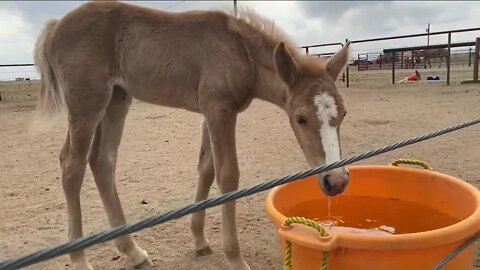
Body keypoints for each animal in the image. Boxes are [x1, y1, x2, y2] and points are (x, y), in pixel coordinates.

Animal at [32, 1, 348, 268]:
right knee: (72, 165)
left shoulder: (209, 113)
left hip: (116, 100)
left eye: (343, 113)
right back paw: (79, 259)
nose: (336, 181)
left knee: (102, 160)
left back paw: (134, 252)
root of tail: (56, 26)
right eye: (300, 118)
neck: (240, 50)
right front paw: (235, 258)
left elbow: (206, 168)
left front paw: (199, 240)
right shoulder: (220, 110)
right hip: (87, 104)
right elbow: (228, 175)